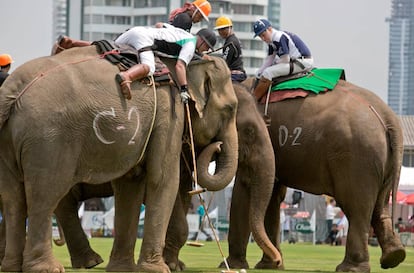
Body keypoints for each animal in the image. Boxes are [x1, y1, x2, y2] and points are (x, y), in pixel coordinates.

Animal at [0, 45, 251, 270]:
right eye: (230, 109)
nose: (217, 146)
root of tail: (12, 91)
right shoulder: (169, 115)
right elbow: (163, 180)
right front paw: (156, 269)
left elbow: (129, 185)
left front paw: (122, 268)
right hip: (50, 140)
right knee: (45, 195)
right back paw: (48, 268)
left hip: (12, 140)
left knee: (14, 199)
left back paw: (13, 267)